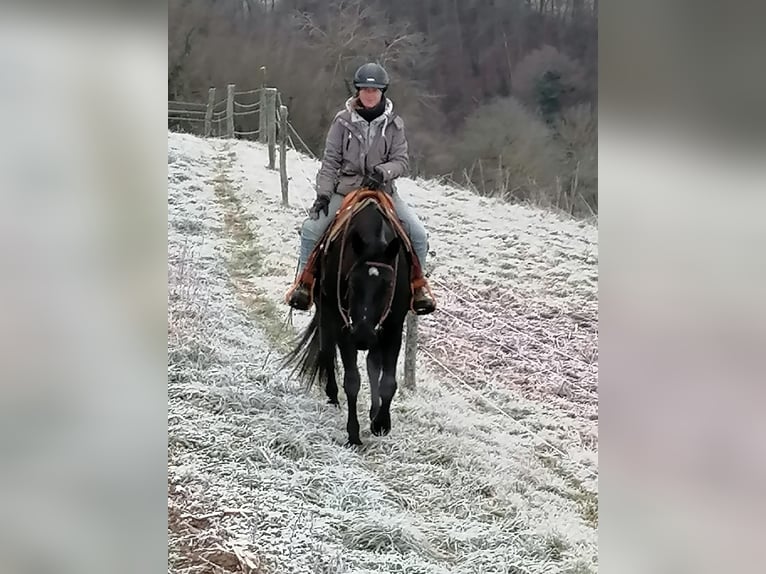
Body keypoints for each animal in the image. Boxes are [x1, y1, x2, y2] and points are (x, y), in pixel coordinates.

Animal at [282, 191, 414, 448]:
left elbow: (388, 381)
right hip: (327, 313)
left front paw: (381, 423)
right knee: (326, 350)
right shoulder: (345, 326)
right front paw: (353, 434)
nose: (362, 336)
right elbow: (352, 381)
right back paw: (332, 396)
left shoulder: (393, 327)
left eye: (388, 285)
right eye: (352, 282)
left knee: (373, 362)